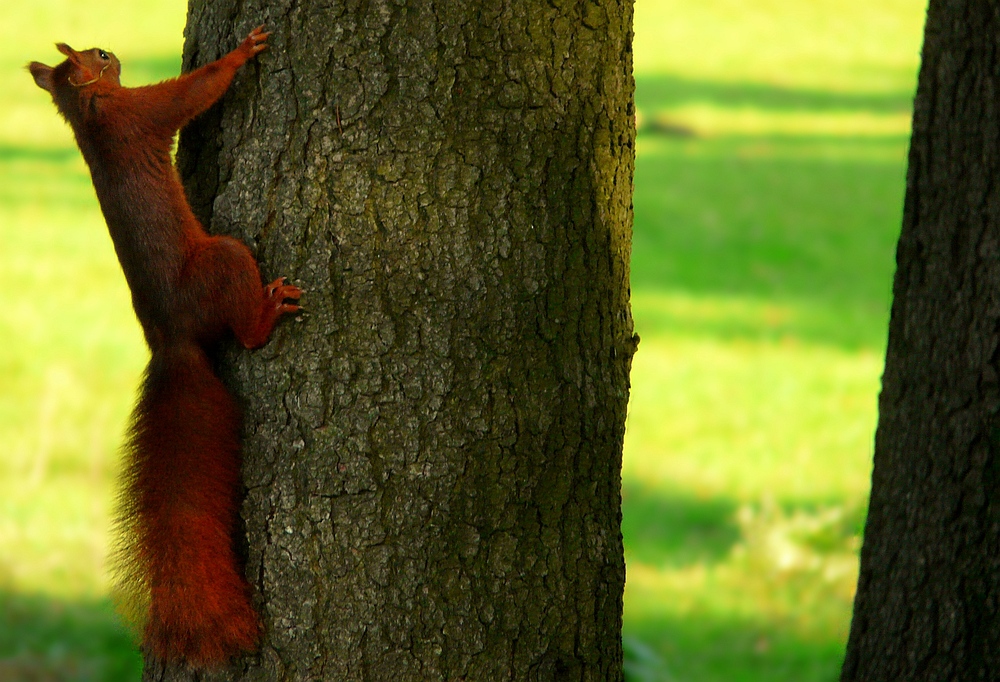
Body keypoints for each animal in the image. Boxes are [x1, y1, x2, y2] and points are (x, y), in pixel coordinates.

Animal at [28, 25, 300, 664]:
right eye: (101, 58)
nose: (115, 52)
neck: (92, 113)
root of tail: (170, 340)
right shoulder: (145, 114)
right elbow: (192, 92)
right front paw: (242, 52)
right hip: (223, 261)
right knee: (245, 331)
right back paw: (267, 314)